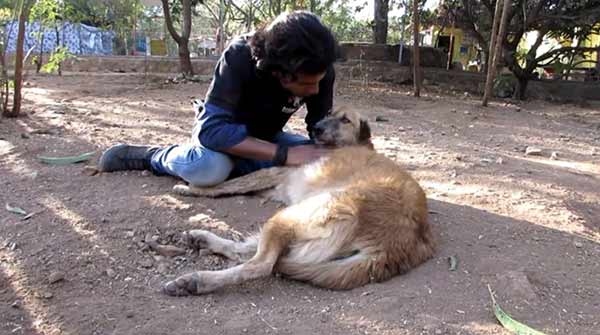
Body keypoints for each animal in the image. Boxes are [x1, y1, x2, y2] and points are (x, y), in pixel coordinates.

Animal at [163, 109, 436, 296]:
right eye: (329, 113)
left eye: (345, 120)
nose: (316, 127)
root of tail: (397, 246)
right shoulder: (278, 187)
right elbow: (239, 186)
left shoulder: (276, 173)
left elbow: (230, 184)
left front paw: (191, 188)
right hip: (295, 223)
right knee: (248, 251)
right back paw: (201, 240)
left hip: (293, 216)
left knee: (261, 264)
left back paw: (197, 281)